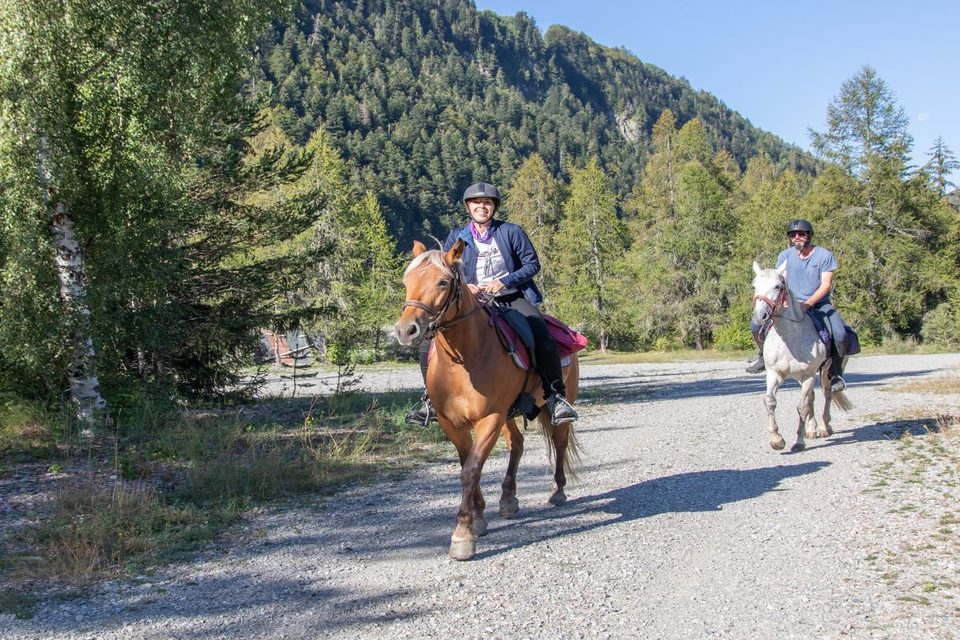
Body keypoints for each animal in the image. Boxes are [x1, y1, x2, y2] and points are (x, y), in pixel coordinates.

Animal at [393, 240, 581, 561]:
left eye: (443, 282)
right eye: (407, 281)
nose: (406, 331)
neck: (465, 360)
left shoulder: (489, 418)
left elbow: (470, 470)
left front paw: (462, 535)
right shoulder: (452, 423)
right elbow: (467, 465)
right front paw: (479, 519)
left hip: (557, 402)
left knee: (559, 442)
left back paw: (557, 491)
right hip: (508, 414)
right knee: (517, 444)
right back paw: (508, 498)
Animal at [751, 261, 852, 452]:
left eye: (778, 286)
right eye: (754, 286)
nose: (760, 316)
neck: (789, 340)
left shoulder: (808, 375)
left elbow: (802, 407)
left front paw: (798, 441)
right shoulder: (774, 374)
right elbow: (770, 401)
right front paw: (777, 440)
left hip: (825, 371)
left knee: (827, 393)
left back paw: (825, 427)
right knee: (812, 397)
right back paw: (811, 430)